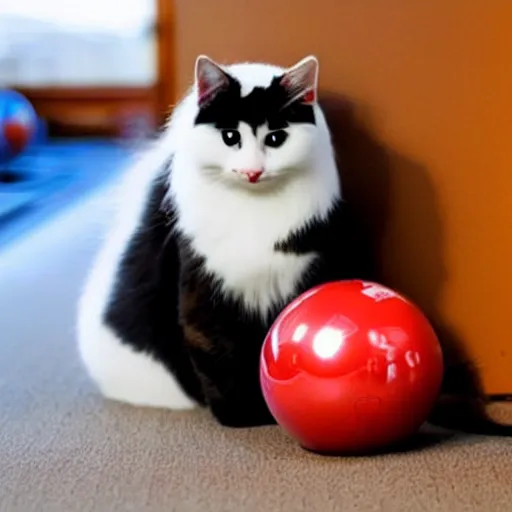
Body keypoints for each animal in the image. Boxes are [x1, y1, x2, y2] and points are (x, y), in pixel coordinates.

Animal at [76, 54, 370, 426]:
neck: (252, 211)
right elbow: (219, 358)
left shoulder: (296, 277)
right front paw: (240, 418)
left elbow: (276, 348)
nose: (252, 171)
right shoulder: (205, 290)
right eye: (230, 137)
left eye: (276, 138)